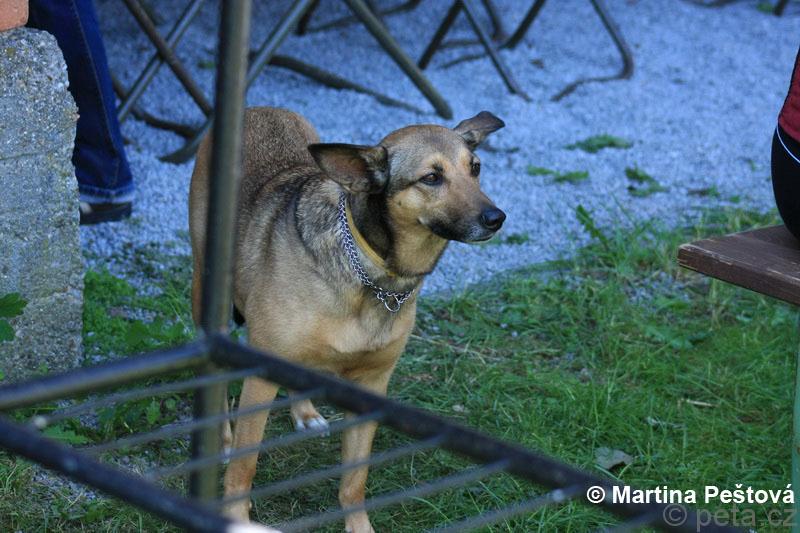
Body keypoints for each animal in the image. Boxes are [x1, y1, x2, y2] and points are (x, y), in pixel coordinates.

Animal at [189, 107, 506, 532]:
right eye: (431, 177)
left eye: (475, 168)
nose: (496, 218)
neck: (375, 274)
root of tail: (258, 108)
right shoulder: (260, 378)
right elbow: (244, 468)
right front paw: (236, 517)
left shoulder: (373, 385)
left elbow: (354, 481)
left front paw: (360, 527)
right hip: (208, 292)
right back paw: (222, 437)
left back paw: (305, 413)